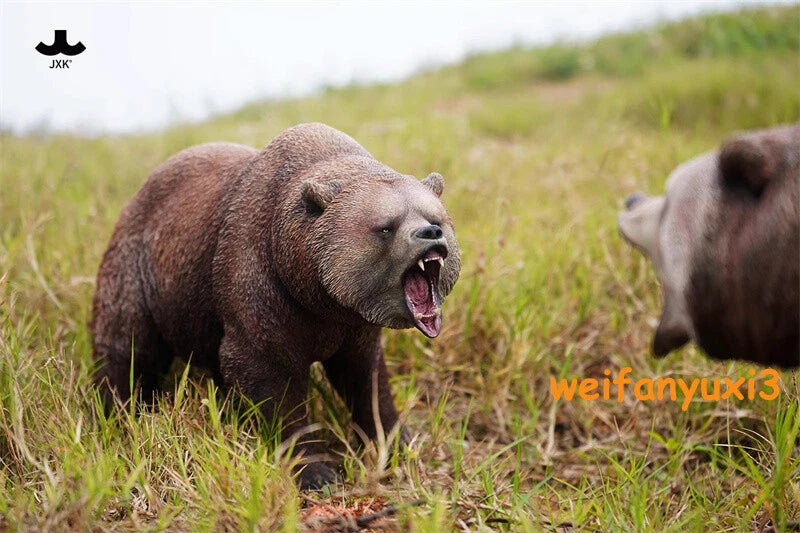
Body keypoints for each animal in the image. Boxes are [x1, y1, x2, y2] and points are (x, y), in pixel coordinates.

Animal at [91, 123, 461, 488]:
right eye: (386, 227)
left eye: (435, 217)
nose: (430, 233)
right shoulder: (261, 290)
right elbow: (269, 380)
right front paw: (316, 472)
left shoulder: (355, 325)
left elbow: (366, 380)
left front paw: (399, 445)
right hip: (139, 269)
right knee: (126, 344)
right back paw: (116, 411)